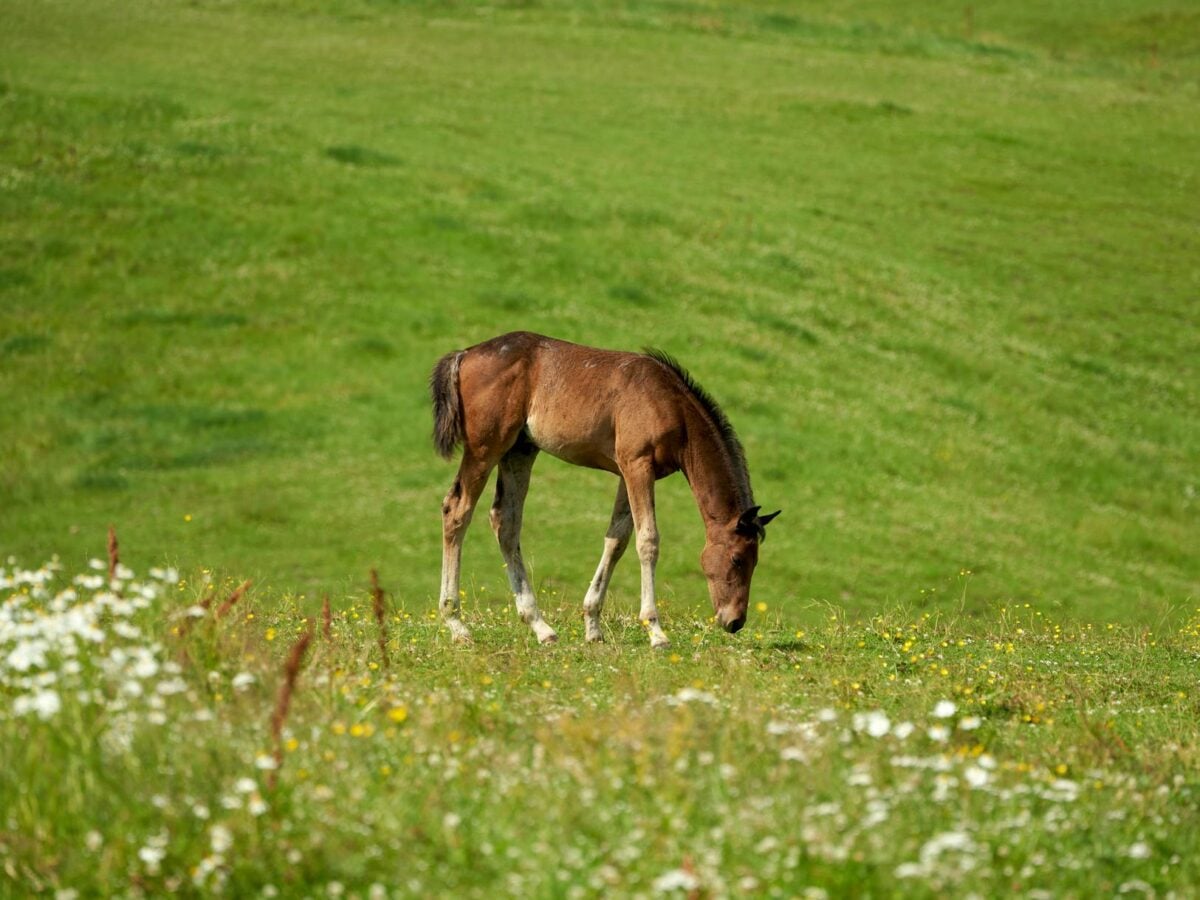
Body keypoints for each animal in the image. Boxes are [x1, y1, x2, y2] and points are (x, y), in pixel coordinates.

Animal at [429, 331, 779, 647]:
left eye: (755, 560)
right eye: (737, 559)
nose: (735, 621)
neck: (669, 403)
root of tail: (465, 354)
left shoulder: (628, 472)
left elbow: (617, 540)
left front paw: (593, 626)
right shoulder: (638, 465)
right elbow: (648, 540)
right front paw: (655, 631)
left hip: (520, 451)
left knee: (506, 522)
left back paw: (540, 626)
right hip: (486, 448)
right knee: (456, 509)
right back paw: (457, 624)